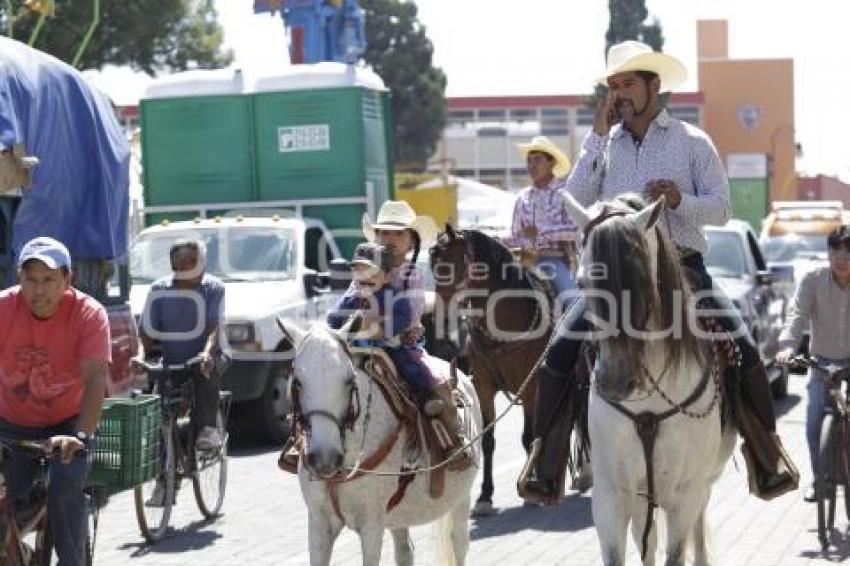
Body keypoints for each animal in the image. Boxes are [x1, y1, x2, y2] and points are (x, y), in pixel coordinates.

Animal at [276, 320, 480, 566]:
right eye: (297, 382)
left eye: (349, 380)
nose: (325, 458)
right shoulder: (318, 523)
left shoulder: (371, 526)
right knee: (404, 551)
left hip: (460, 501)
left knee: (459, 545)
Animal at [428, 225, 552, 516]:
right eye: (434, 266)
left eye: (457, 263)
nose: (441, 318)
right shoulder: (483, 387)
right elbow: (488, 440)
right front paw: (485, 495)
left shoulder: (530, 386)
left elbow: (529, 435)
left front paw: (530, 487)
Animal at [564, 193, 736, 564]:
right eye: (582, 281)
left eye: (643, 279)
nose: (615, 381)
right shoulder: (611, 495)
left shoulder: (685, 493)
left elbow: (678, 550)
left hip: (703, 482)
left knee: (698, 526)